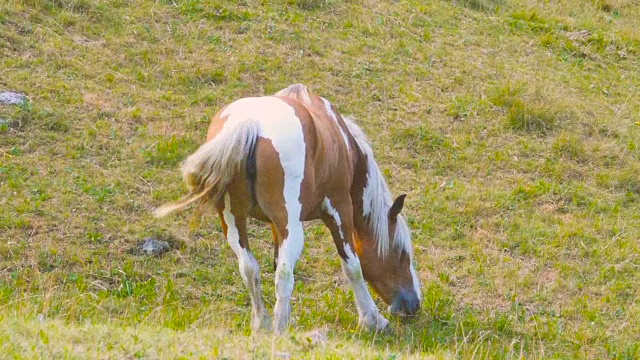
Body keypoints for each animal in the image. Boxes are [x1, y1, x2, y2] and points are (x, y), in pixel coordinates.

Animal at [156, 83, 420, 334]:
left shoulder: (275, 225)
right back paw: (279, 329)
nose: (414, 304)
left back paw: (262, 324)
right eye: (401, 253)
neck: (343, 143)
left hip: (233, 220)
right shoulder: (339, 209)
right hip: (292, 226)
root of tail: (250, 125)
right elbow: (352, 267)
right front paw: (372, 320)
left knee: (249, 269)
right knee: (284, 274)